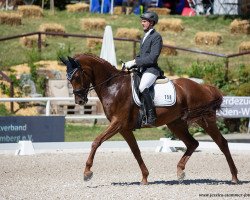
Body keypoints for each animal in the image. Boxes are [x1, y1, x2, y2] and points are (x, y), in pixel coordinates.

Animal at [60, 53, 238, 184]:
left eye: (76, 77)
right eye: (68, 79)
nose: (80, 101)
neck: (113, 86)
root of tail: (204, 87)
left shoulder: (118, 123)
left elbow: (96, 141)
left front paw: (87, 172)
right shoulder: (124, 128)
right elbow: (136, 151)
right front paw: (145, 177)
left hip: (205, 120)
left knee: (222, 143)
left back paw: (234, 177)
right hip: (176, 124)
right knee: (193, 143)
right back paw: (180, 171)